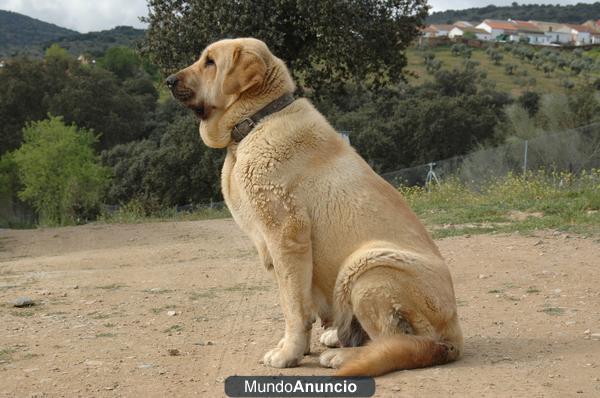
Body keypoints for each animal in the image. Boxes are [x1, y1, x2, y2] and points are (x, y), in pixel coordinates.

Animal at [166, 37, 462, 376]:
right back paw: (337, 338)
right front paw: (294, 347)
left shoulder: (286, 237)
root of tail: (455, 339)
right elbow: (294, 302)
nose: (169, 81)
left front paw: (288, 354)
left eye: (211, 62)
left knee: (401, 343)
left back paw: (345, 356)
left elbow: (294, 307)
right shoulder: (272, 249)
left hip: (369, 268)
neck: (257, 120)